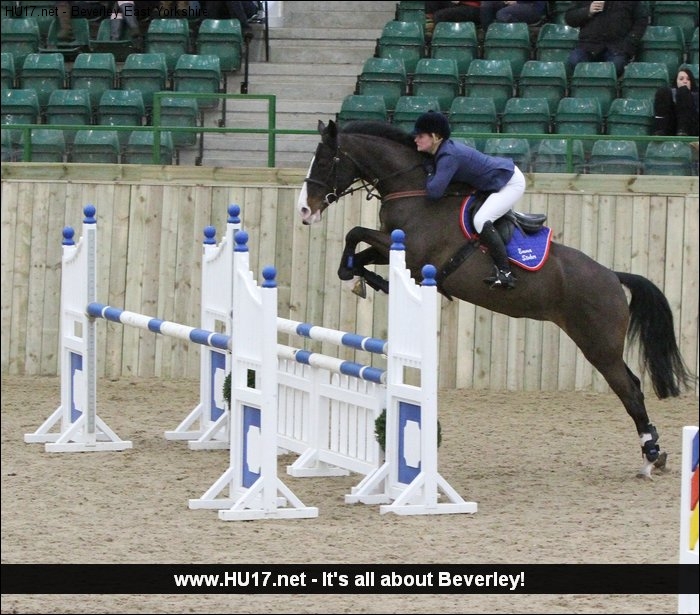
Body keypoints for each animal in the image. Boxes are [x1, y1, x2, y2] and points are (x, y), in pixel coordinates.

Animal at [296, 118, 696, 478]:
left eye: (326, 161)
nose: (305, 211)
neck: (414, 190)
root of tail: (613, 276)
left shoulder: (412, 256)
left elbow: (355, 232)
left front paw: (370, 279)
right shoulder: (392, 249)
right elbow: (358, 248)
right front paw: (360, 277)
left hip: (599, 344)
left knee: (630, 390)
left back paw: (652, 454)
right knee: (632, 386)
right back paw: (655, 453)